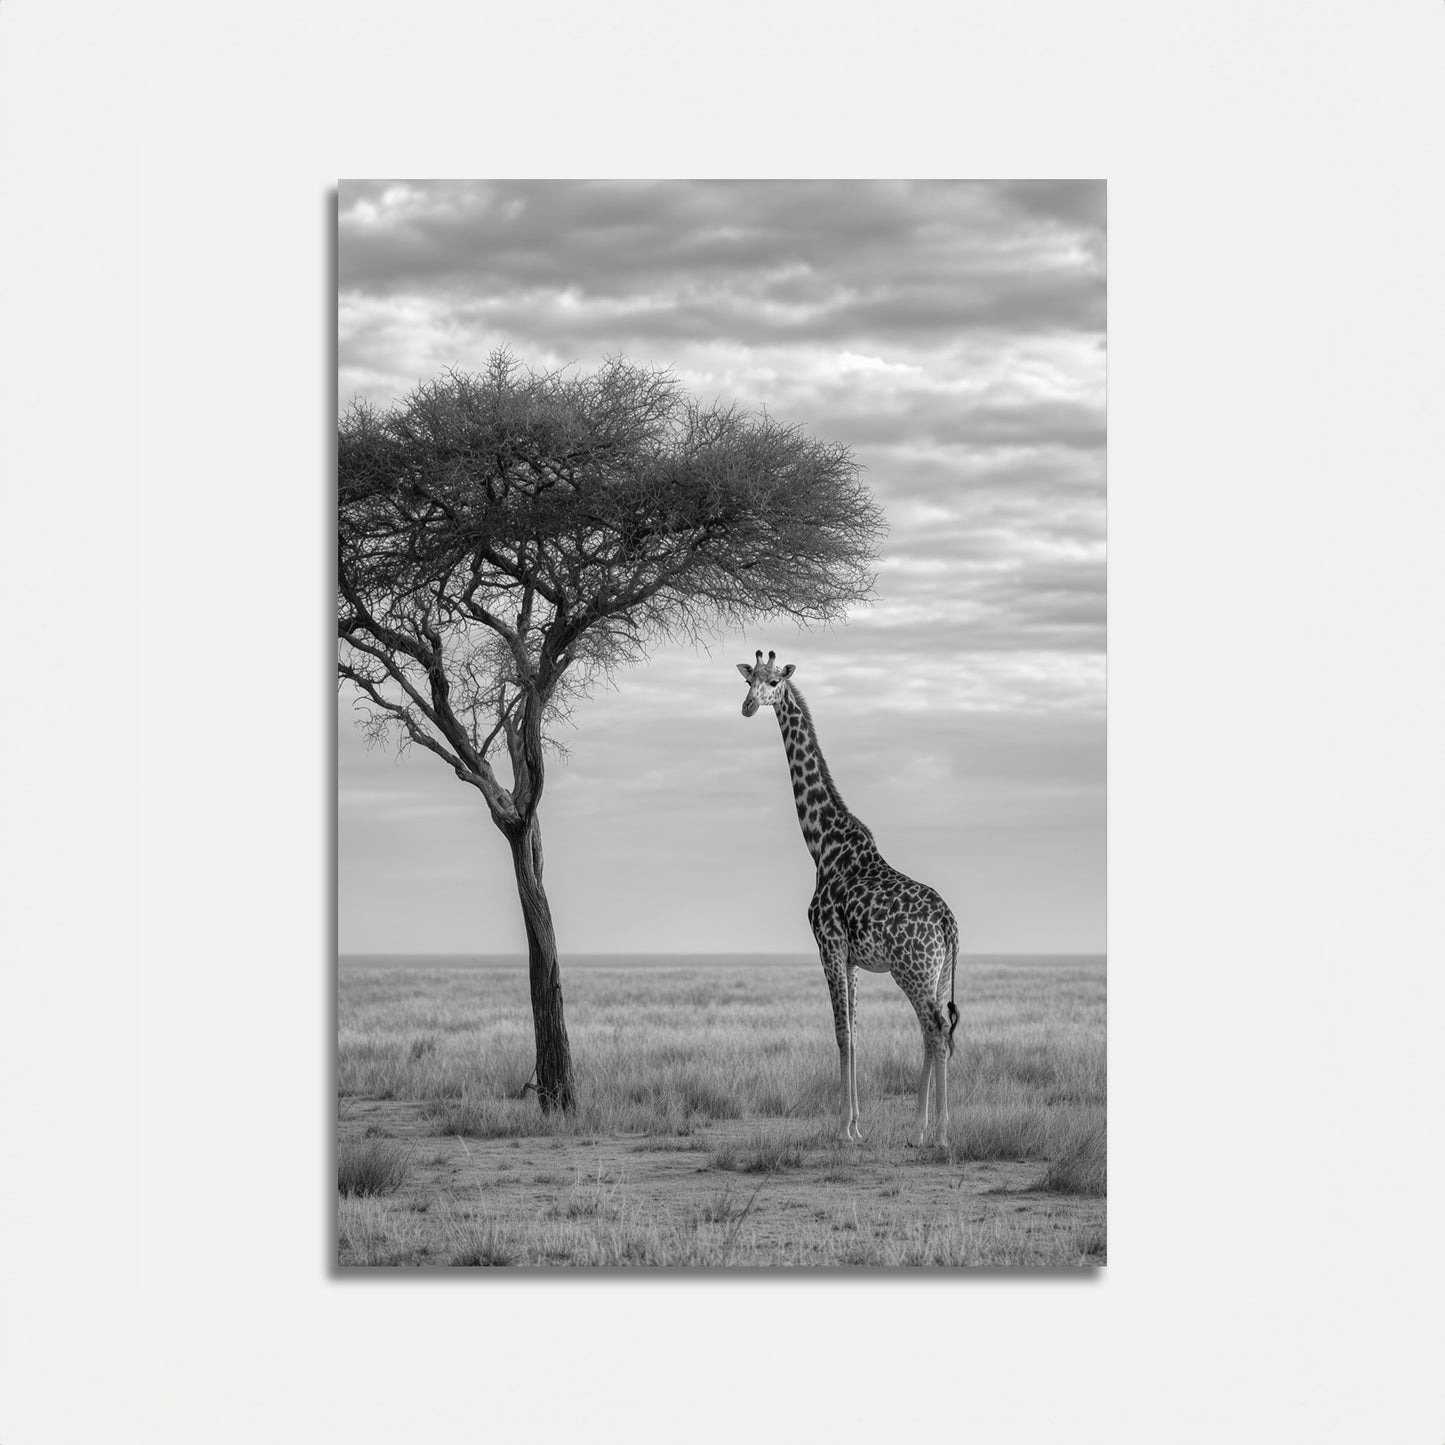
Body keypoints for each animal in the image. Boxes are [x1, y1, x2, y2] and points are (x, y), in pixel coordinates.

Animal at [736, 650, 960, 1147]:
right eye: (748, 679)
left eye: (775, 681)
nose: (748, 706)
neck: (822, 844)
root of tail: (948, 924)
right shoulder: (853, 957)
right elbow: (855, 1033)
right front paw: (856, 1124)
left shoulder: (828, 945)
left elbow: (841, 1033)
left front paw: (842, 1128)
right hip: (936, 974)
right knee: (934, 1029)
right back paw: (919, 1129)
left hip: (912, 969)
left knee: (936, 1028)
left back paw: (937, 1133)